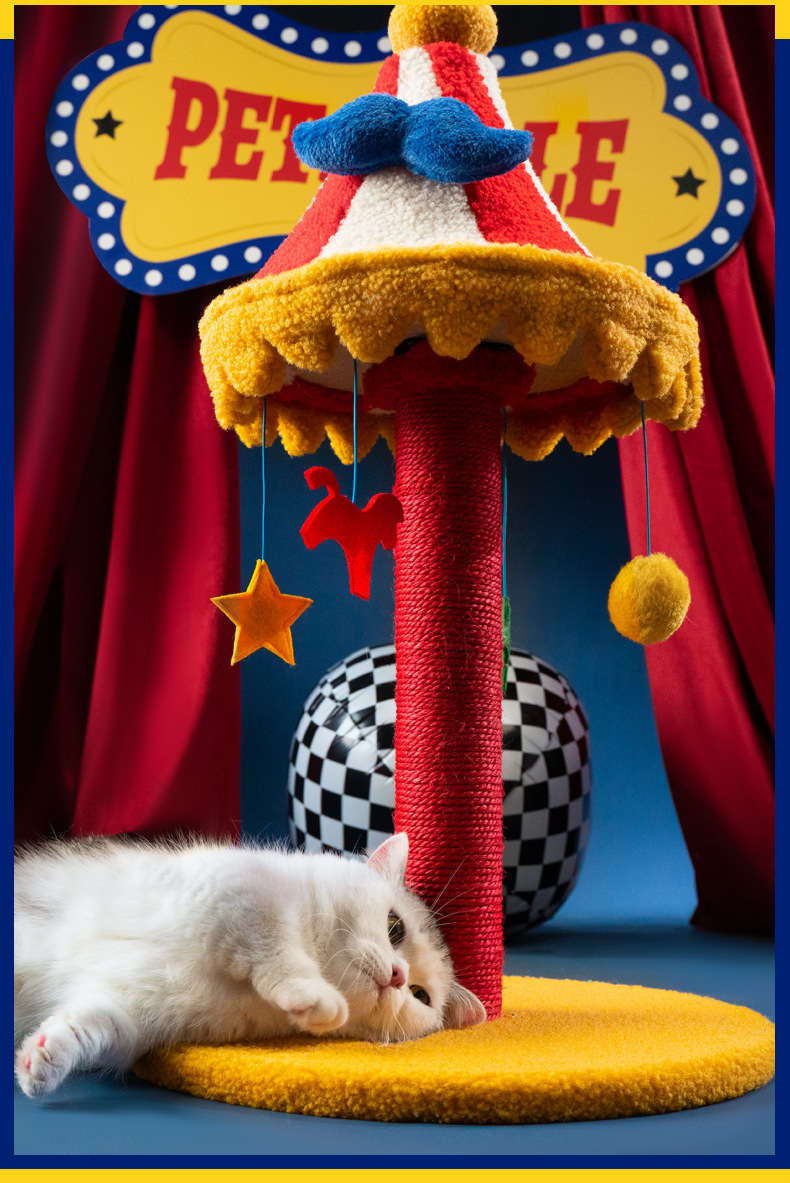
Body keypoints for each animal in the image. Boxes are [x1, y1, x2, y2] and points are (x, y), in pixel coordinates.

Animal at [14, 831, 485, 1098]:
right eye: (394, 927)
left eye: (420, 996)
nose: (399, 976)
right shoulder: (236, 891)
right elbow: (273, 946)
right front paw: (319, 1000)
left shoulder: (128, 1012)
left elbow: (88, 1025)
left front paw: (41, 1060)